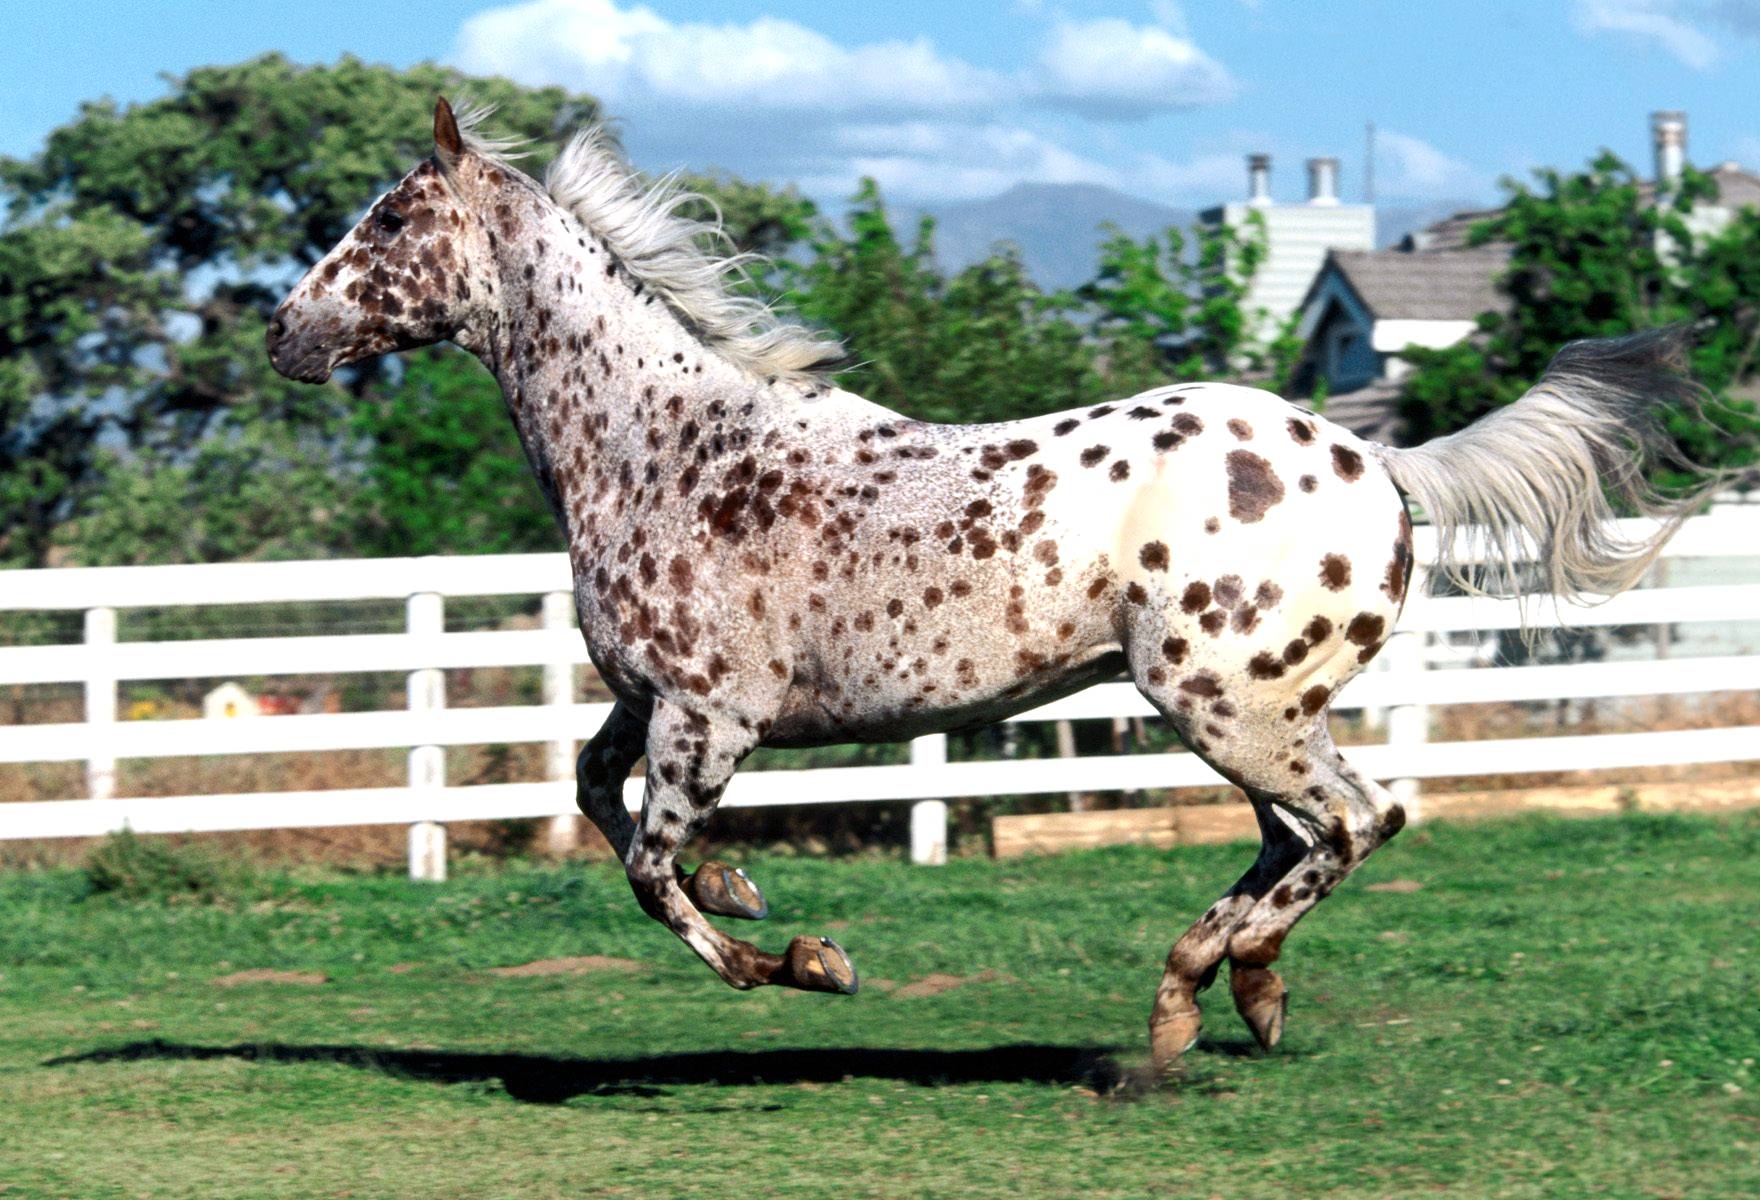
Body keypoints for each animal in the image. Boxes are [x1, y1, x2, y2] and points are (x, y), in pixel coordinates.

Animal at [267, 100, 1710, 1062]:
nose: (284, 331)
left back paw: (1226, 980)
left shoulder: (707, 718)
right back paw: (1204, 996)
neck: (663, 448)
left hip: (1228, 705)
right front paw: (751, 894)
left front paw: (808, 960)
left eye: (387, 220)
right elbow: (595, 801)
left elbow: (651, 870)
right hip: (1249, 712)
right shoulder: (643, 702)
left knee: (1357, 822)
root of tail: (1370, 456)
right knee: (1295, 837)